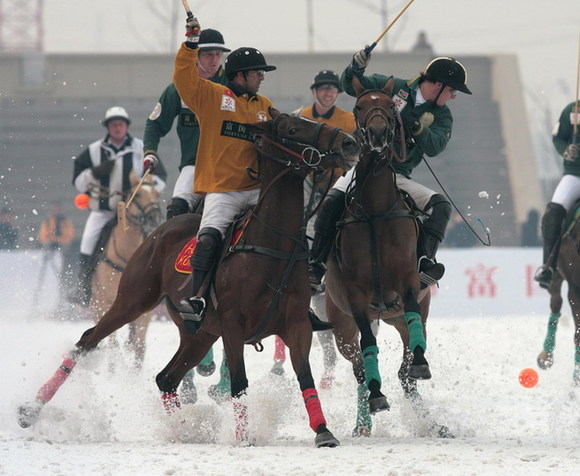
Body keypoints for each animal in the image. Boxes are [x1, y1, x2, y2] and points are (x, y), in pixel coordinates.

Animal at [90, 173, 163, 362]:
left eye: (156, 193)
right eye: (137, 195)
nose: (154, 219)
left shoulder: (144, 311)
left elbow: (140, 347)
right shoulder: (107, 303)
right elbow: (113, 346)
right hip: (96, 305)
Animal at [324, 76, 450, 436]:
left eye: (390, 109)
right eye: (358, 106)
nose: (379, 134)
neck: (376, 210)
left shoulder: (407, 282)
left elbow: (411, 359)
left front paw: (421, 364)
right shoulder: (354, 297)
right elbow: (368, 348)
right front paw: (377, 398)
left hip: (407, 313)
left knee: (406, 368)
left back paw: (428, 419)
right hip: (341, 327)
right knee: (359, 371)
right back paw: (364, 419)